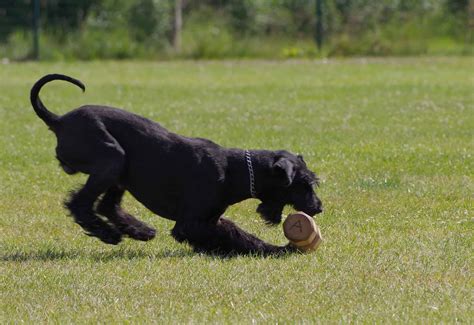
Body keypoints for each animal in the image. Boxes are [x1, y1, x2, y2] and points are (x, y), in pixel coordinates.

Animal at [30, 74, 322, 256]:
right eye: (305, 184)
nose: (318, 207)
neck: (235, 171)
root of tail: (59, 120)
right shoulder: (191, 223)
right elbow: (236, 237)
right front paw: (277, 250)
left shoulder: (210, 218)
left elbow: (234, 233)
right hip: (112, 160)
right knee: (79, 203)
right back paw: (107, 233)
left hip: (119, 172)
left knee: (106, 205)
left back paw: (140, 230)